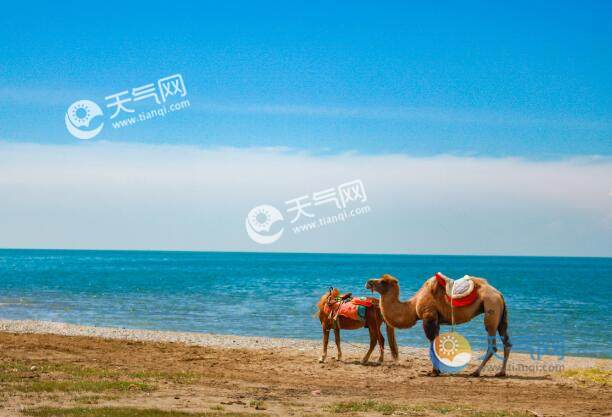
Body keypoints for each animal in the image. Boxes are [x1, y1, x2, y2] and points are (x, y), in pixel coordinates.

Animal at [366, 272, 510, 376]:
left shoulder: (428, 316)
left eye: (383, 281)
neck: (413, 305)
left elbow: (432, 344)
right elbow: (437, 344)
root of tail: (500, 294)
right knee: (506, 342)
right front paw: (438, 370)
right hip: (500, 314)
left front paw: (434, 372)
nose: (368, 282)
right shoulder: (436, 320)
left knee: (492, 344)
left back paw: (476, 372)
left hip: (491, 307)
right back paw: (501, 372)